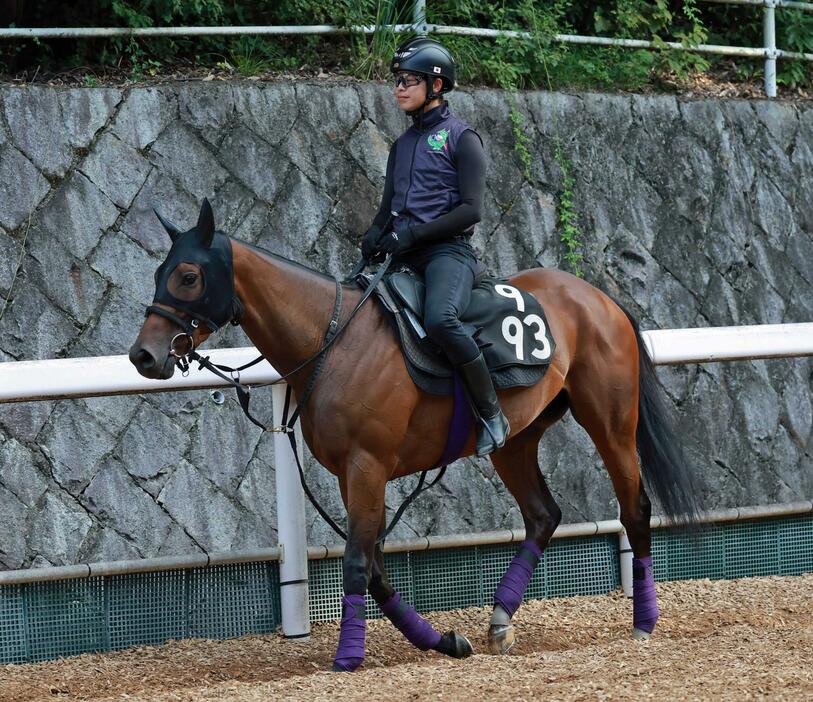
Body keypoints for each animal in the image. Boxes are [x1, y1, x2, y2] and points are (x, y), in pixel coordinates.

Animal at [128, 201, 696, 672]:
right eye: (157, 273)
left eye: (188, 275)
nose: (143, 356)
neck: (336, 339)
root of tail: (597, 296)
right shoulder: (352, 474)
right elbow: (375, 568)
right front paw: (441, 642)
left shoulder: (368, 466)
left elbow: (359, 562)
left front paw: (347, 657)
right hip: (517, 440)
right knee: (543, 515)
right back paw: (500, 619)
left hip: (610, 422)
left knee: (634, 507)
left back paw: (644, 621)